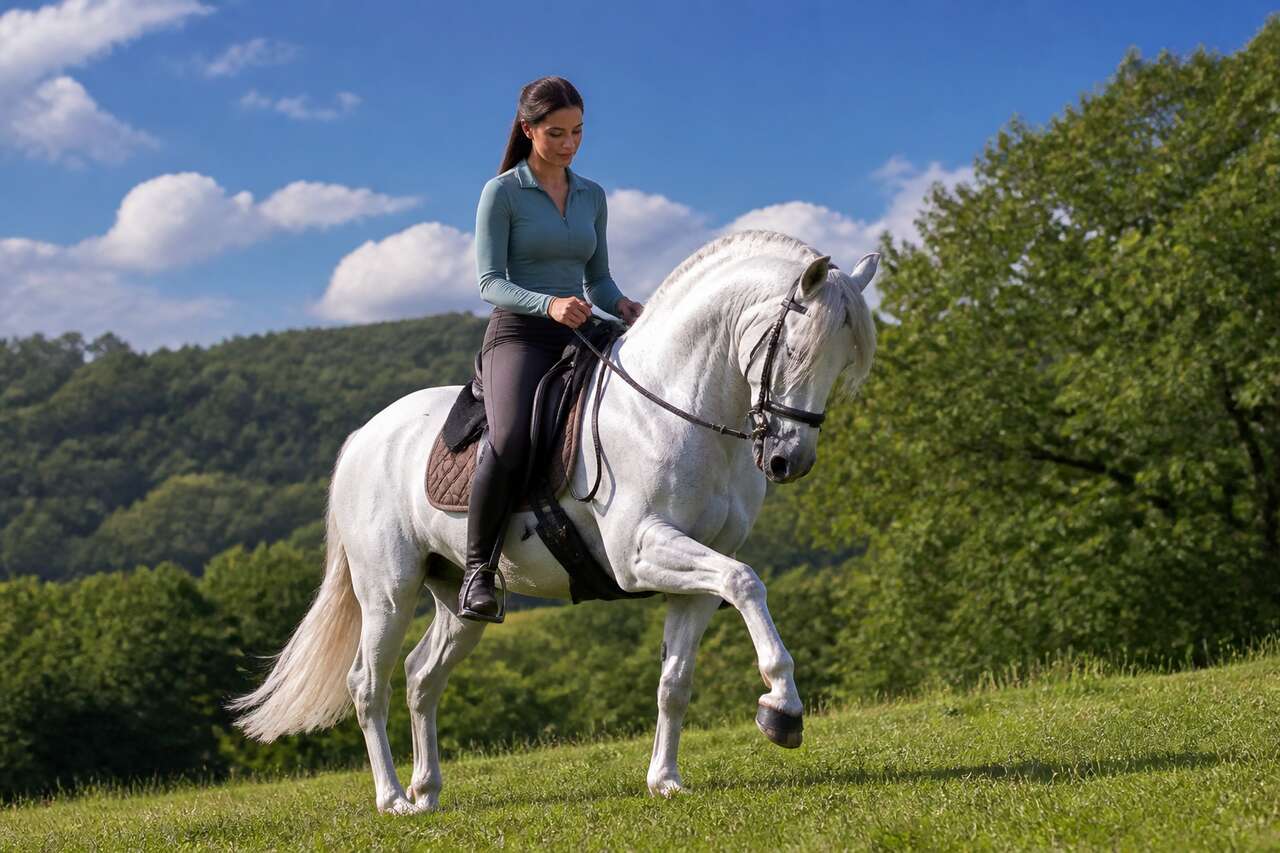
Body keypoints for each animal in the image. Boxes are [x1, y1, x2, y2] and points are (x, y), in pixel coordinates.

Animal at [228, 229, 879, 814]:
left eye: (842, 363)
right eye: (794, 350)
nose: (788, 461)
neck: (676, 410)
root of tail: (365, 435)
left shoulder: (696, 574)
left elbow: (676, 679)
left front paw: (666, 780)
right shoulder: (642, 552)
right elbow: (748, 583)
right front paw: (782, 710)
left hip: (457, 598)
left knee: (421, 677)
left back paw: (427, 791)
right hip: (387, 591)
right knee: (368, 684)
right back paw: (392, 800)